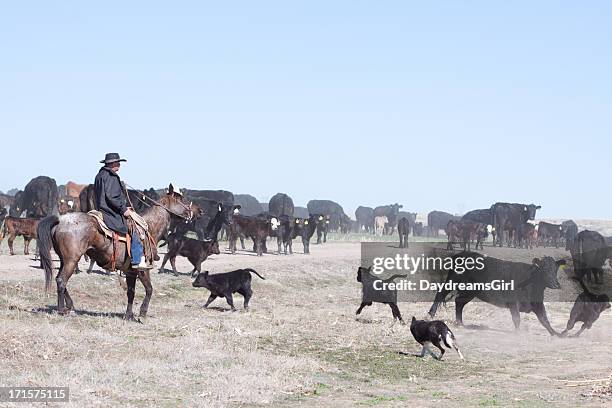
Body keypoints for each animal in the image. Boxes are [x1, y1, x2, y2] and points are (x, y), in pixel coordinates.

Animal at [37, 183, 201, 320]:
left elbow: (131, 292)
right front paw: (142, 313)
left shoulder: (130, 271)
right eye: (181, 199)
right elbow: (149, 289)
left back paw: (70, 305)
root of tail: (60, 220)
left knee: (59, 279)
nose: (199, 210)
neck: (149, 227)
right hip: (71, 260)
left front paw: (128, 315)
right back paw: (61, 310)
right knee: (61, 280)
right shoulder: (142, 269)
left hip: (65, 260)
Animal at [428, 253, 568, 336]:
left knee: (459, 302)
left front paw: (557, 333)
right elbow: (517, 318)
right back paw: (431, 314)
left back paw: (460, 323)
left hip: (470, 291)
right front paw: (518, 333)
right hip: (452, 281)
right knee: (440, 293)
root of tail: (461, 254)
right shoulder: (513, 302)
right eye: (544, 269)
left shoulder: (537, 304)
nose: (556, 284)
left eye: (555, 269)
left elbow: (545, 319)